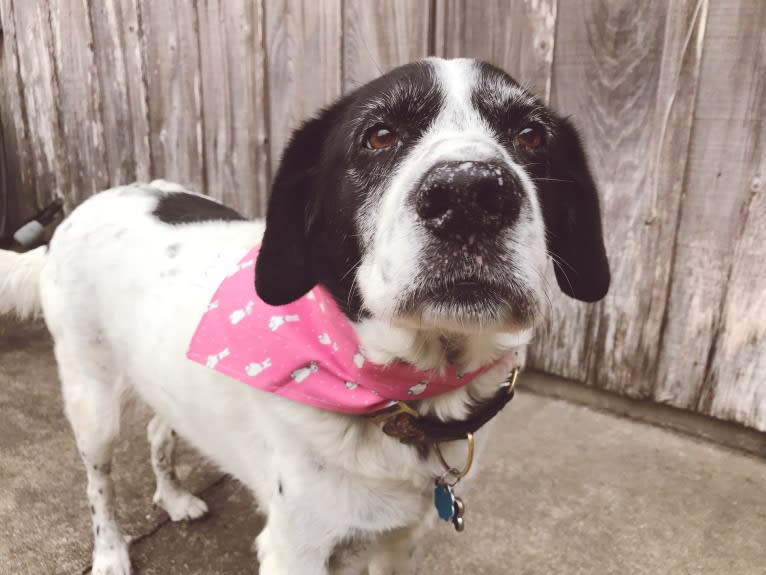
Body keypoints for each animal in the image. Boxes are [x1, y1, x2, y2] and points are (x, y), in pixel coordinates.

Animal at [1, 59, 612, 575]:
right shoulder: (295, 547)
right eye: (379, 135)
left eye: (531, 136)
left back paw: (173, 498)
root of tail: (75, 215)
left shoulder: (401, 540)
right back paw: (110, 553)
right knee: (97, 483)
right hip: (92, 402)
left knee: (157, 429)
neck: (407, 397)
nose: (470, 193)